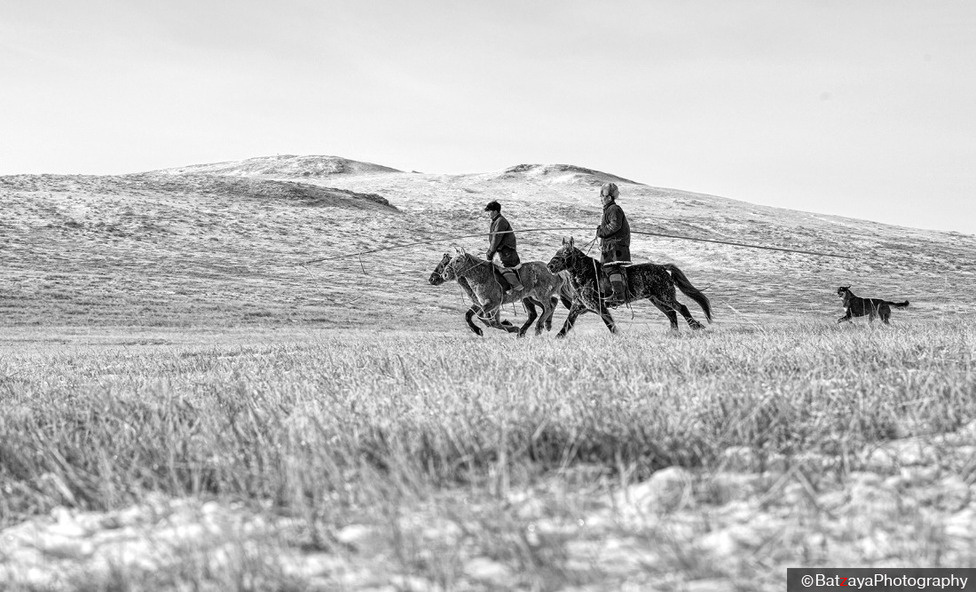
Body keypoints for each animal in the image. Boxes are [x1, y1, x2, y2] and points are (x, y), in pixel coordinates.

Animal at [436, 250, 568, 338]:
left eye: (458, 261)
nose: (444, 275)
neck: (481, 276)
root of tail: (553, 270)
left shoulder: (492, 303)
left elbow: (484, 317)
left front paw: (509, 327)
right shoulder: (481, 303)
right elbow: (470, 316)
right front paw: (478, 330)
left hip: (540, 295)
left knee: (548, 307)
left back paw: (538, 327)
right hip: (531, 297)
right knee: (551, 304)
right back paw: (543, 326)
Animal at [544, 237, 712, 338]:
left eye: (566, 252)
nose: (550, 266)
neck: (586, 274)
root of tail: (662, 268)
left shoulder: (599, 306)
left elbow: (610, 324)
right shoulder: (577, 307)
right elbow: (566, 326)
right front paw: (556, 339)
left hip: (665, 297)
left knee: (681, 308)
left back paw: (696, 327)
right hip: (656, 300)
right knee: (671, 314)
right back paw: (674, 333)